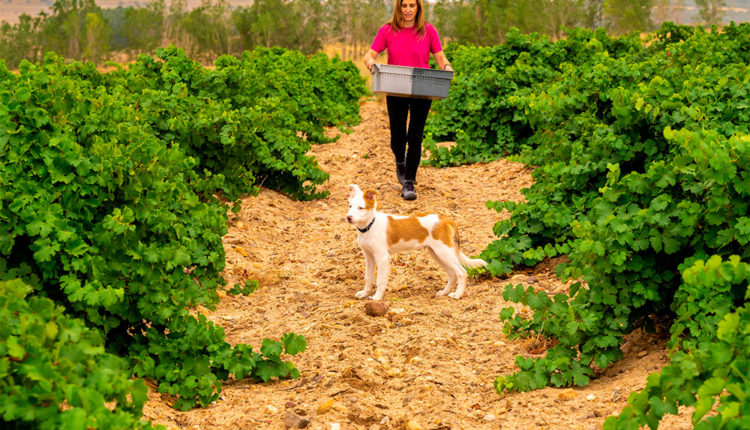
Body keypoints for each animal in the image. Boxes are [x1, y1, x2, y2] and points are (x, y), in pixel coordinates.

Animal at [346, 184, 487, 300]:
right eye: (350, 206)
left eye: (361, 208)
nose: (348, 217)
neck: (370, 226)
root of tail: (446, 219)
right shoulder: (369, 257)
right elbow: (368, 278)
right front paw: (364, 293)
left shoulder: (382, 257)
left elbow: (380, 280)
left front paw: (376, 298)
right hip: (437, 253)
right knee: (452, 274)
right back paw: (444, 293)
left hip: (444, 252)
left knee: (462, 273)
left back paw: (457, 295)